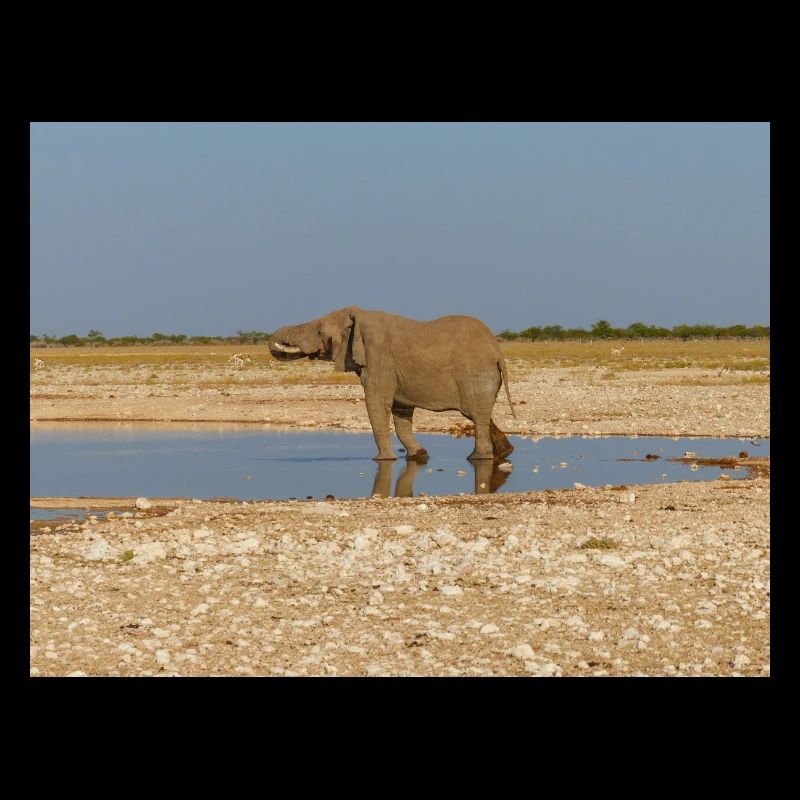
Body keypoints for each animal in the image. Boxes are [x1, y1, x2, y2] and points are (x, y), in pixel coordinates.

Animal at [270, 307, 516, 461]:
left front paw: (383, 460)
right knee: (477, 413)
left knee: (476, 415)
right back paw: (504, 452)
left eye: (320, 331)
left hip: (476, 375)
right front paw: (419, 455)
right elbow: (400, 411)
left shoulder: (378, 360)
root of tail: (498, 351)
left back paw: (479, 458)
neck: (359, 315)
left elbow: (377, 404)